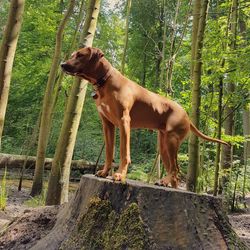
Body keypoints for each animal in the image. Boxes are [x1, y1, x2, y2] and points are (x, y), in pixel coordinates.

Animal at [61, 47, 229, 188]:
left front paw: (120, 175)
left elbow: (124, 152)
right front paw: (104, 172)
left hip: (172, 140)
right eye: (72, 55)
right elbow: (109, 151)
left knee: (176, 169)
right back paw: (166, 183)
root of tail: (187, 116)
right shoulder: (107, 124)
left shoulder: (124, 121)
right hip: (163, 145)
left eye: (80, 55)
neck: (105, 81)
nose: (62, 64)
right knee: (174, 172)